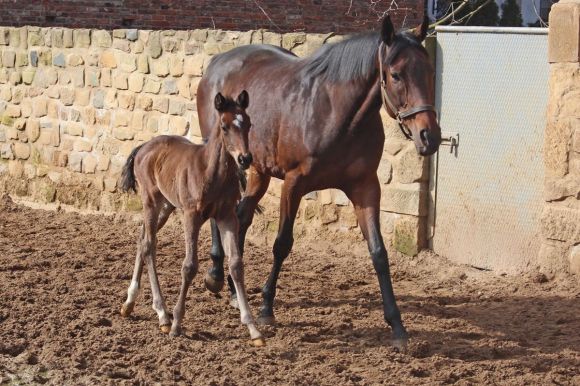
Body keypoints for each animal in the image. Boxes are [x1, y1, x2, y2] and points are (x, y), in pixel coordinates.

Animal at [118, 91, 262, 346]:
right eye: (224, 126)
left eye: (248, 123)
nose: (245, 159)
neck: (211, 173)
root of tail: (144, 146)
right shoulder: (191, 216)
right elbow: (189, 266)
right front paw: (177, 324)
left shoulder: (226, 217)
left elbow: (236, 264)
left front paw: (253, 328)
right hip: (151, 201)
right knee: (149, 245)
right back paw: (163, 315)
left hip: (166, 206)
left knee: (143, 241)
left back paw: (131, 303)